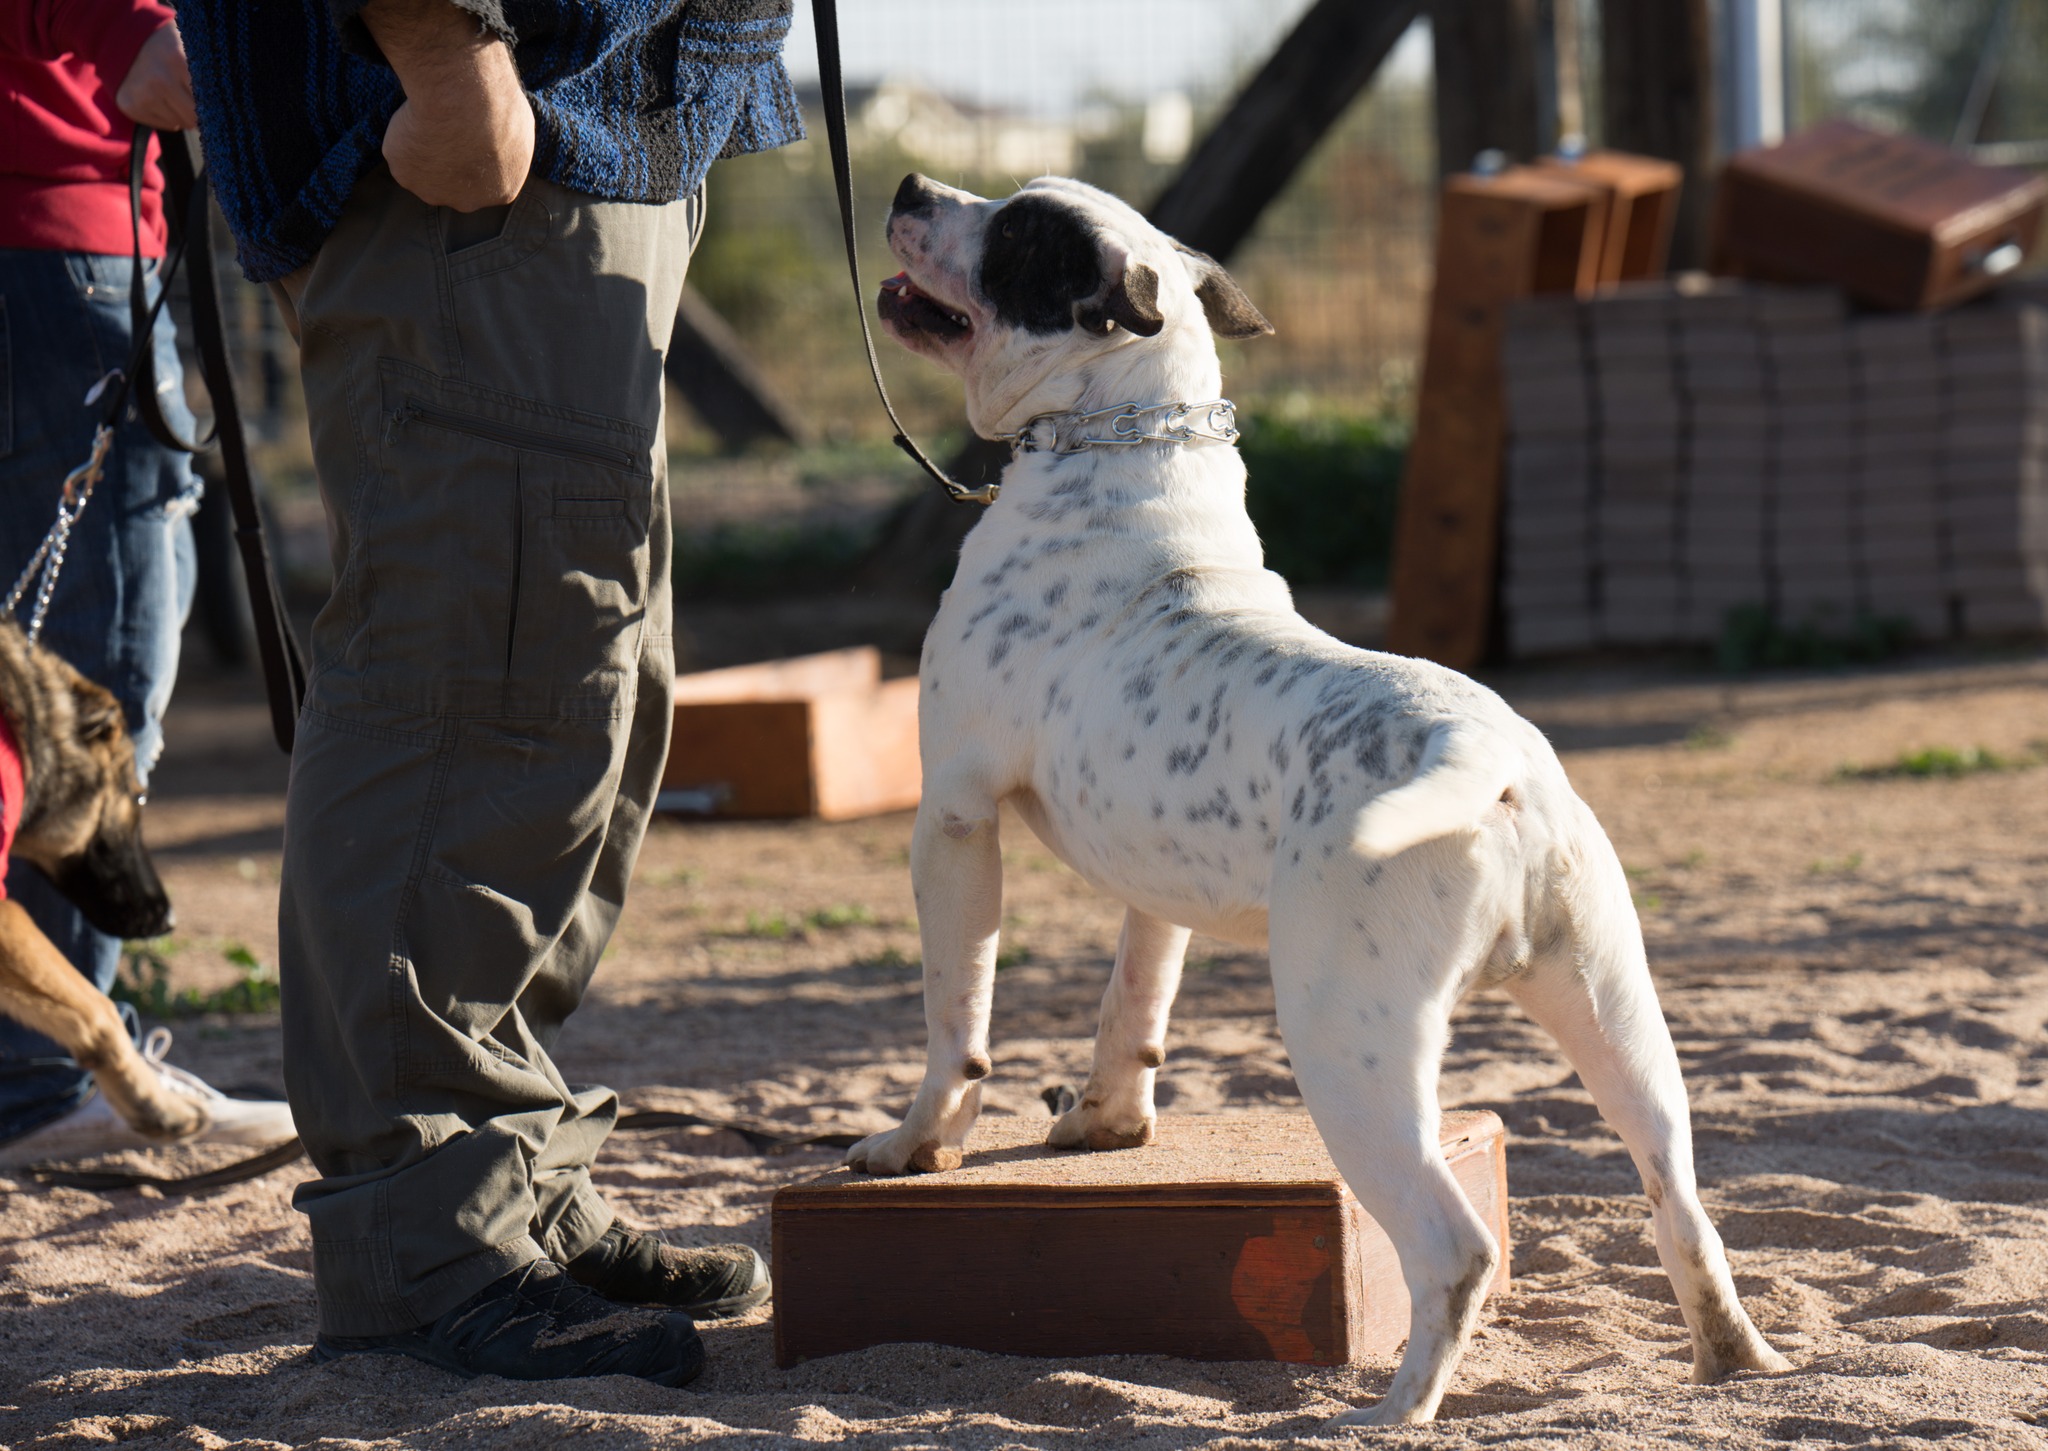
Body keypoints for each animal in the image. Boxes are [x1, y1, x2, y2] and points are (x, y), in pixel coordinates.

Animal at [839, 175, 1785, 1426]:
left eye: (1011, 232)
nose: (907, 187)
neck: (1123, 443)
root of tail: (1491, 761)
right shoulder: (1154, 895)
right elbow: (1131, 1004)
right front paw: (1104, 1122)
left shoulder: (950, 820)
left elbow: (957, 1027)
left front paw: (914, 1143)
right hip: (1617, 1022)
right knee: (1679, 1201)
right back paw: (1736, 1361)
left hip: (1347, 1049)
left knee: (1452, 1245)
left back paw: (1388, 1414)